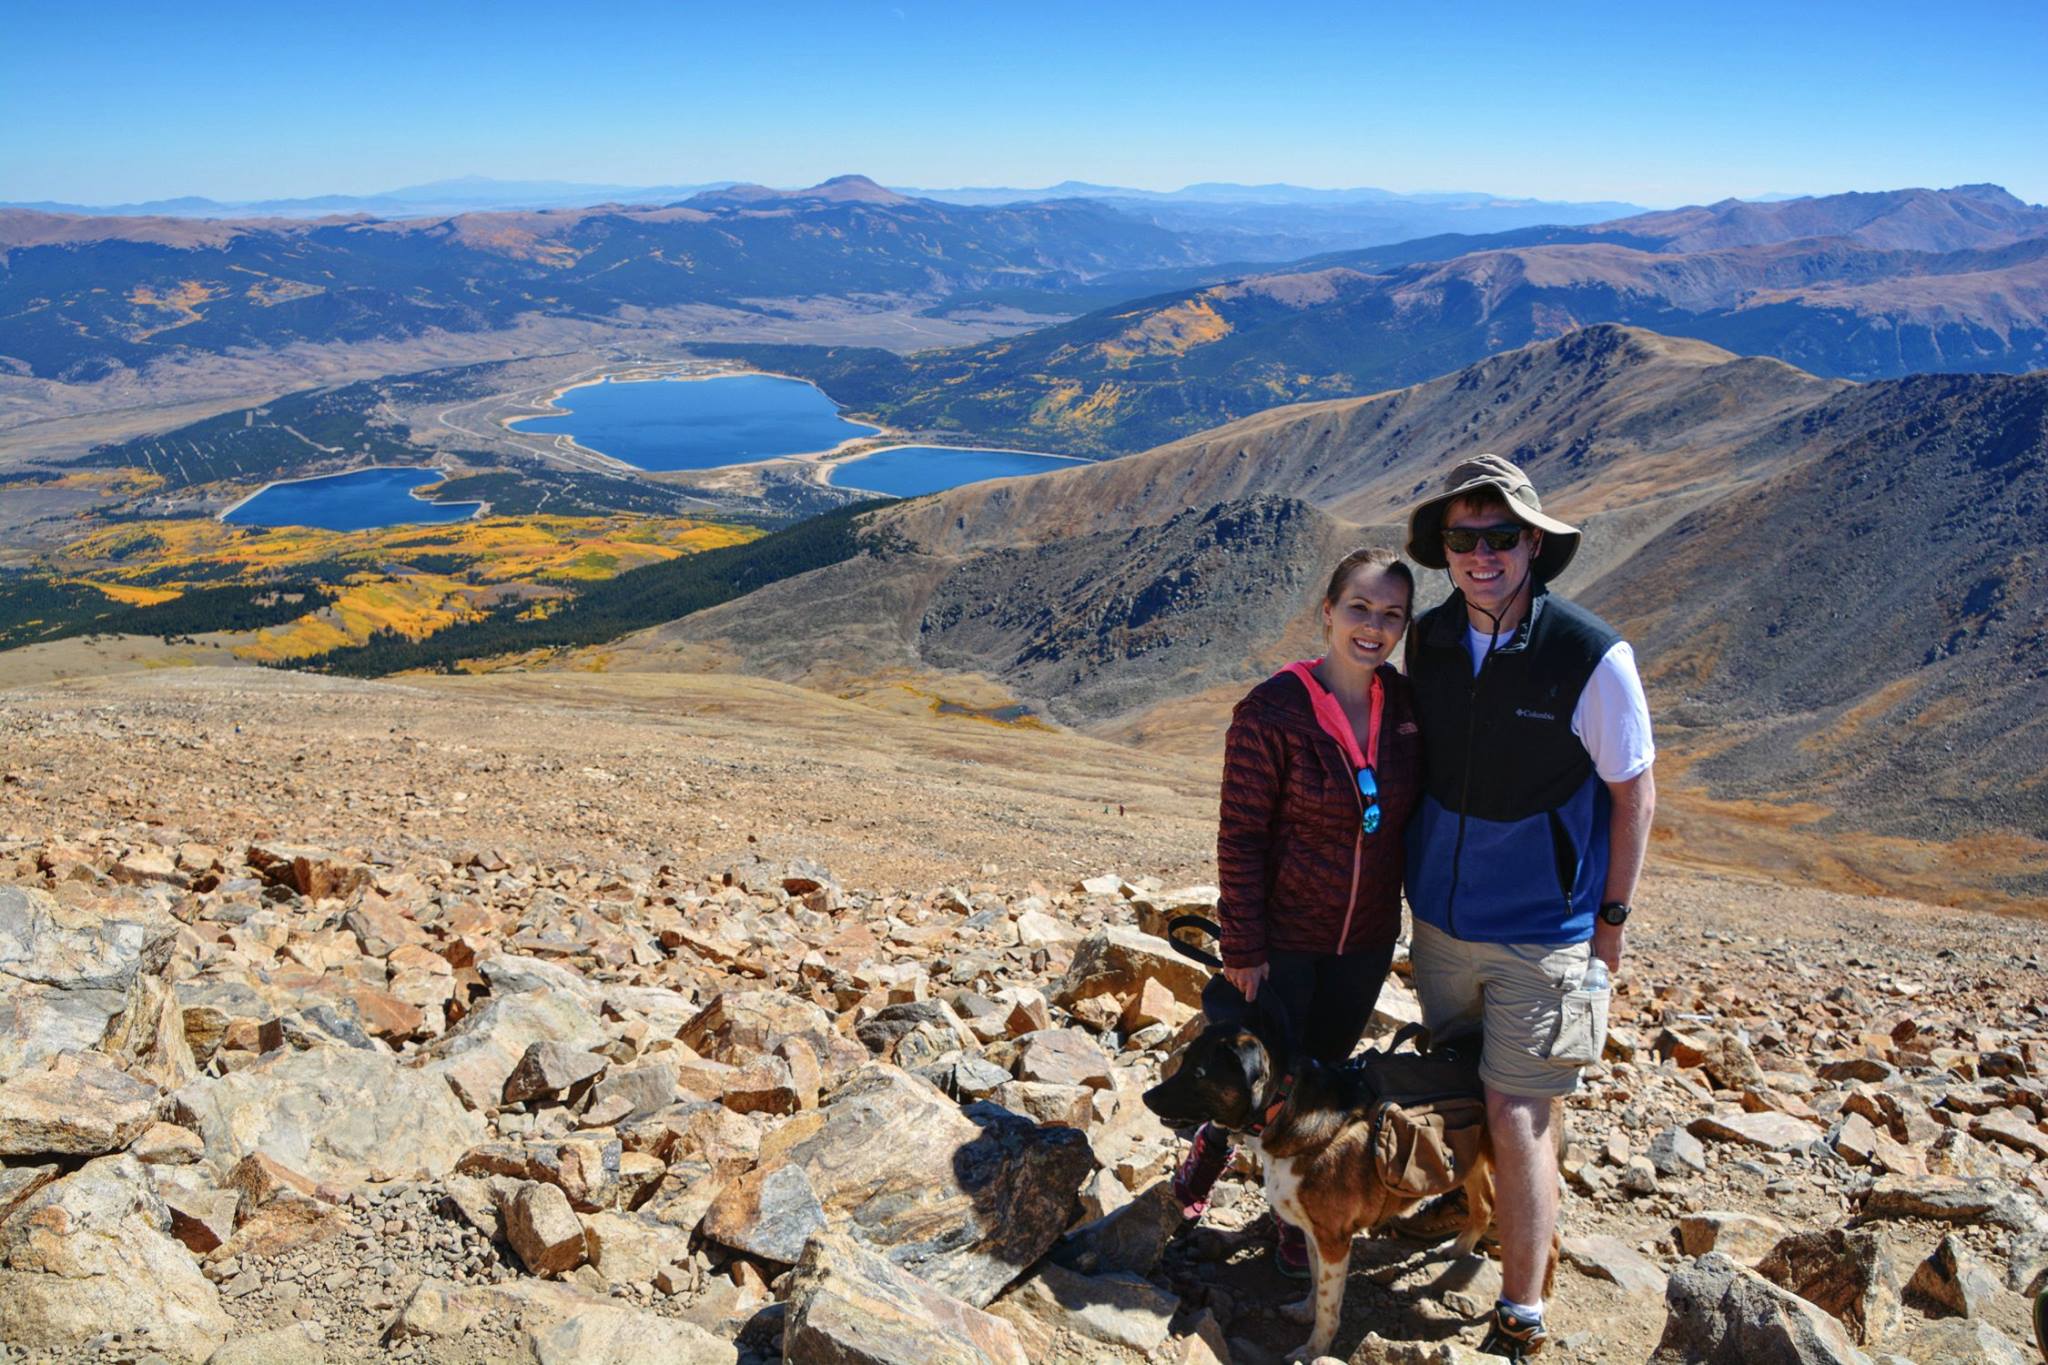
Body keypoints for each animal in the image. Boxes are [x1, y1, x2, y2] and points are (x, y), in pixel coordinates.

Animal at [1146, 1019, 1556, 1358]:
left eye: (1198, 1073)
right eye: (1184, 1062)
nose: (1146, 1098)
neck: (1284, 1109)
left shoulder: (1334, 1239)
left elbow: (1329, 1308)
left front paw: (1313, 1352)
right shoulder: (1315, 1233)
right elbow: (1316, 1284)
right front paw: (1303, 1311)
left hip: (1513, 1157)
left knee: (1544, 1233)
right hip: (1470, 1161)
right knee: (1484, 1204)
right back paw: (1457, 1247)